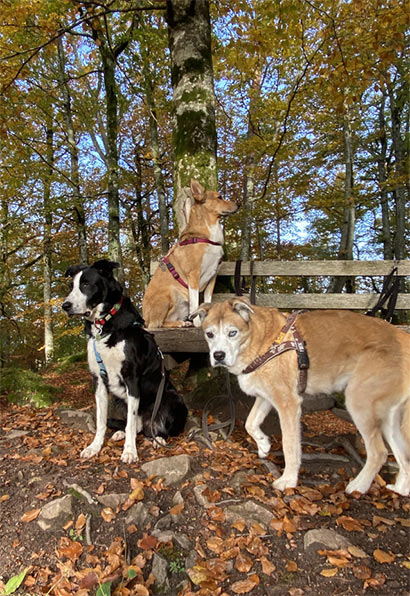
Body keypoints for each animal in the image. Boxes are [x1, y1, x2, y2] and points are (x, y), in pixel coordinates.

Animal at [62, 259, 188, 463]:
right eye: (71, 286)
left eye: (86, 284)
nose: (65, 305)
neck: (105, 326)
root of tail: (148, 423)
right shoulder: (98, 380)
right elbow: (102, 420)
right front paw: (95, 447)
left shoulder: (132, 379)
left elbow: (129, 423)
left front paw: (129, 451)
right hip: (119, 400)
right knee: (136, 426)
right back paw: (121, 433)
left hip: (172, 399)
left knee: (156, 429)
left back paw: (159, 438)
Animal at [142, 179, 238, 328]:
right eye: (219, 197)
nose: (238, 204)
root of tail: (144, 319)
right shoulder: (193, 275)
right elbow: (195, 304)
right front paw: (198, 322)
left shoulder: (213, 276)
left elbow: (207, 301)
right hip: (169, 293)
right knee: (157, 324)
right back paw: (180, 323)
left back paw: (182, 322)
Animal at [191, 297, 410, 496]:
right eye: (209, 334)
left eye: (232, 332)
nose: (218, 356)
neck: (261, 339)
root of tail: (403, 338)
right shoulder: (266, 397)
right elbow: (250, 423)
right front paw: (263, 444)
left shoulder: (288, 403)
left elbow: (290, 446)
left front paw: (288, 480)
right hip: (389, 419)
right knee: (405, 456)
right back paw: (400, 489)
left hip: (359, 403)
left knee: (379, 453)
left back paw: (359, 486)